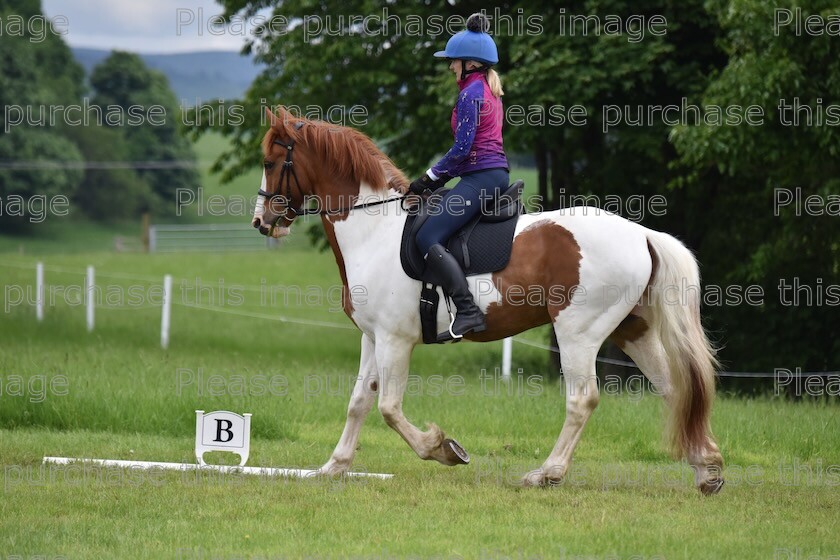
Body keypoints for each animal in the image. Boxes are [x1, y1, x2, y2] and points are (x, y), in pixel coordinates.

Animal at [253, 105, 724, 494]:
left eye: (271, 162)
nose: (262, 222)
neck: (375, 229)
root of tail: (642, 234)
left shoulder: (393, 340)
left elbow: (388, 407)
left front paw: (442, 448)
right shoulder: (372, 338)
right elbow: (359, 402)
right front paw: (333, 467)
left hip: (578, 332)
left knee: (583, 399)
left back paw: (546, 474)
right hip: (632, 330)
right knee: (672, 388)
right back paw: (707, 470)